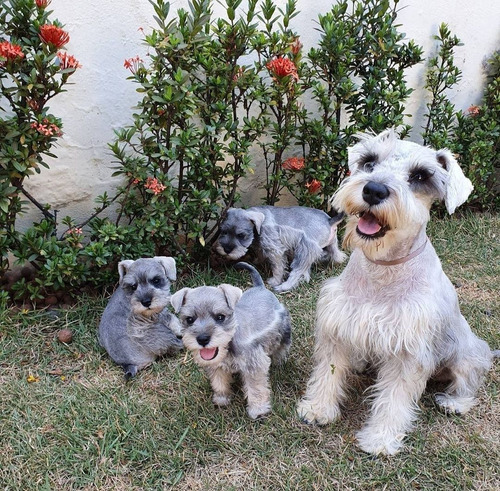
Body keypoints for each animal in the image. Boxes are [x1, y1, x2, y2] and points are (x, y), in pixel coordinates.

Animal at [170, 262, 292, 418]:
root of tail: (260, 287)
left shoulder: (254, 364)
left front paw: (258, 409)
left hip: (283, 331)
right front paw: (222, 399)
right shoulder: (216, 366)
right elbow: (219, 382)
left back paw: (279, 361)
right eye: (189, 319)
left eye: (220, 317)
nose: (202, 339)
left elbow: (256, 388)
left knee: (282, 347)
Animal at [213, 205, 346, 292]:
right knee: (337, 255)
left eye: (241, 235)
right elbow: (260, 253)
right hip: (331, 244)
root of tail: (329, 221)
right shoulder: (263, 244)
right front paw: (257, 261)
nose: (226, 250)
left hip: (304, 249)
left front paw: (275, 280)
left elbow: (278, 267)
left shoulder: (275, 250)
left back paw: (283, 286)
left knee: (297, 271)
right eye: (223, 231)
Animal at [296, 131, 496, 458]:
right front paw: (318, 408)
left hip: (467, 353)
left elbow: (394, 398)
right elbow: (329, 372)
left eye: (420, 175)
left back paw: (455, 402)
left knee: (469, 380)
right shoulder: (336, 327)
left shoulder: (408, 351)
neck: (382, 270)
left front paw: (380, 438)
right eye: (369, 161)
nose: (374, 190)